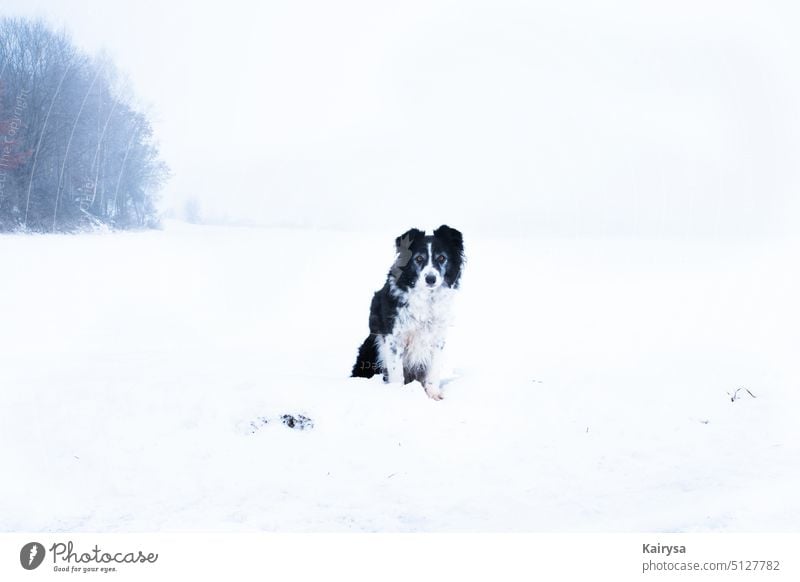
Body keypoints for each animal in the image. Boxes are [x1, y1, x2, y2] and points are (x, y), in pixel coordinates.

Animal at [352, 225, 468, 402]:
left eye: (442, 258)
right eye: (419, 259)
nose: (430, 279)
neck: (427, 299)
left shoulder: (437, 339)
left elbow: (433, 371)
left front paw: (434, 395)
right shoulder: (394, 339)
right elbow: (397, 373)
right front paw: (399, 395)